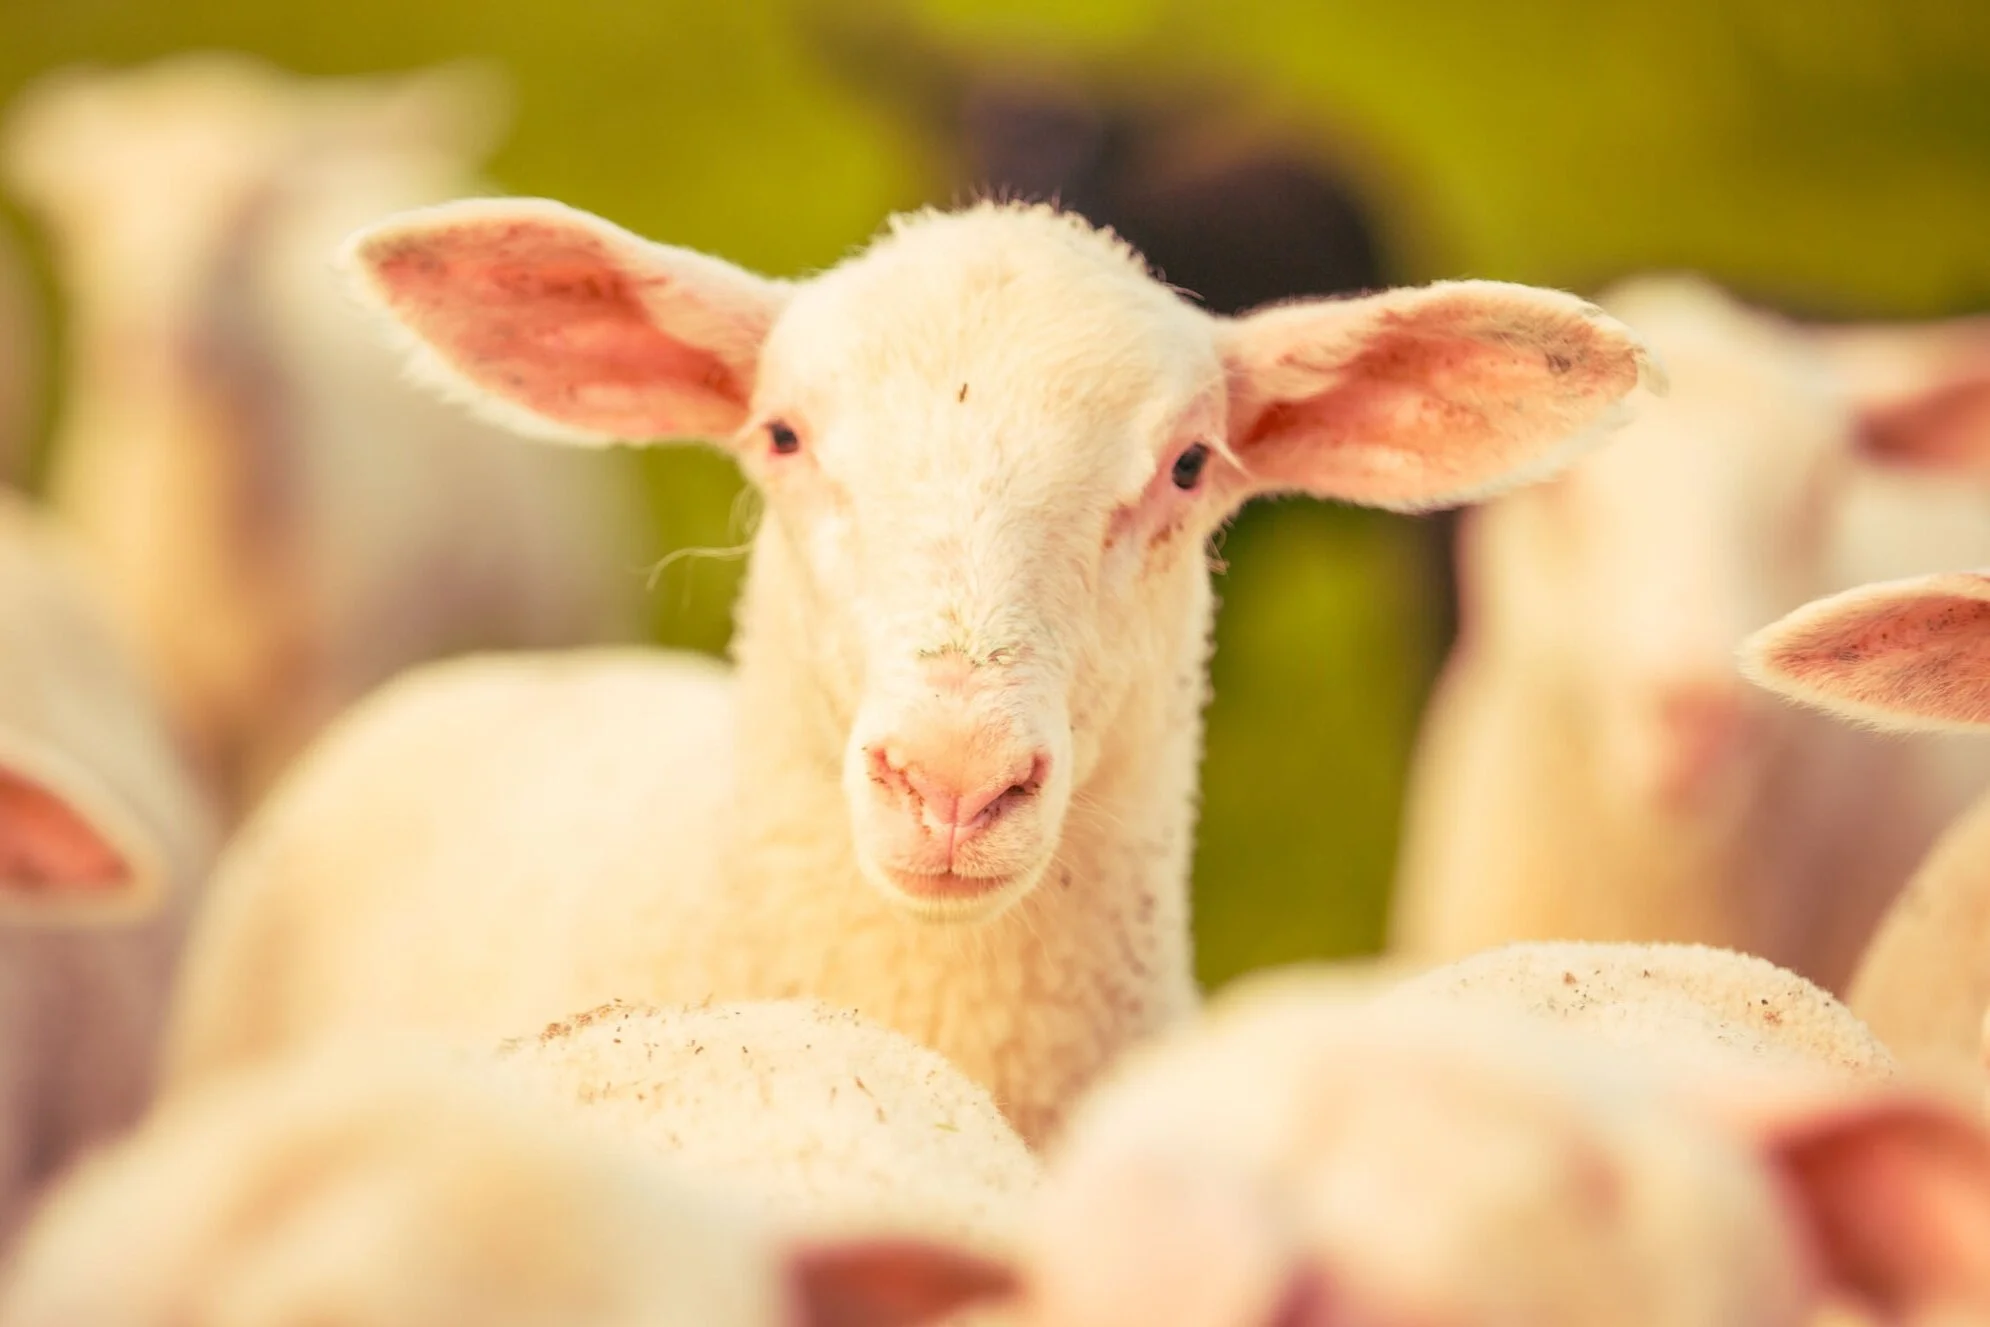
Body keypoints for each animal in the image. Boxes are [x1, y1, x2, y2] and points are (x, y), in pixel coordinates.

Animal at [0, 53, 652, 814]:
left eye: (251, 213)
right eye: (76, 222)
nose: (154, 347)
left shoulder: (324, 683)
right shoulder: (179, 701)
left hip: (564, 580)